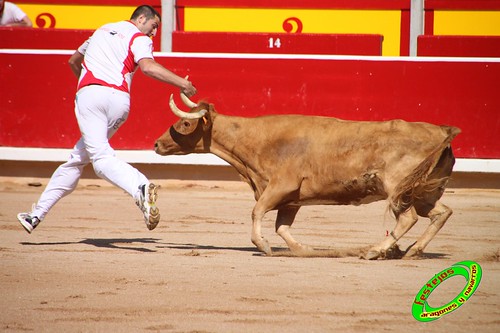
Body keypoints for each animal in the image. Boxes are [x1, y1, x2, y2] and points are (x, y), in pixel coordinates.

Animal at [155, 93, 460, 260]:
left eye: (185, 123)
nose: (157, 144)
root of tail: (442, 131)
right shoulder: (291, 200)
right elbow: (282, 227)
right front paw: (306, 250)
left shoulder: (280, 187)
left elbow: (257, 212)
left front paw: (263, 245)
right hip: (423, 191)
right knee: (441, 213)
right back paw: (412, 251)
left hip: (398, 188)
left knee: (408, 218)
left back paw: (375, 250)